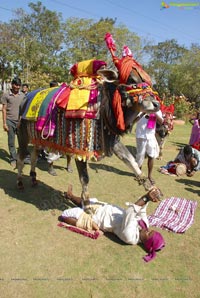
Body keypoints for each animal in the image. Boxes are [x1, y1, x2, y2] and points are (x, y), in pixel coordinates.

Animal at [17, 33, 161, 204]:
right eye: (132, 80)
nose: (156, 104)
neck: (103, 106)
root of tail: (26, 98)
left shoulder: (113, 141)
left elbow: (132, 162)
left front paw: (151, 189)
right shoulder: (80, 148)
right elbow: (84, 178)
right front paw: (85, 203)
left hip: (39, 138)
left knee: (33, 156)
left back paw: (33, 177)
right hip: (23, 135)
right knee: (21, 157)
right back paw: (20, 182)